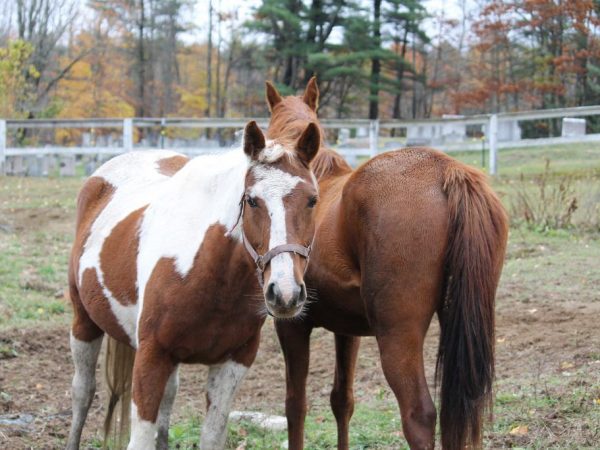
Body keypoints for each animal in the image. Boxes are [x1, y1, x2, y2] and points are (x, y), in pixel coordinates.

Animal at [65, 121, 324, 448]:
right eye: (252, 200)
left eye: (312, 200)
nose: (285, 293)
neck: (211, 278)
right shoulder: (151, 357)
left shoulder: (233, 363)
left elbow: (209, 435)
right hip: (84, 322)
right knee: (83, 393)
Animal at [264, 80, 508, 450]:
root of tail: (446, 170)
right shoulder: (346, 329)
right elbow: (342, 400)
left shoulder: (292, 324)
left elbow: (296, 406)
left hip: (397, 336)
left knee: (419, 415)